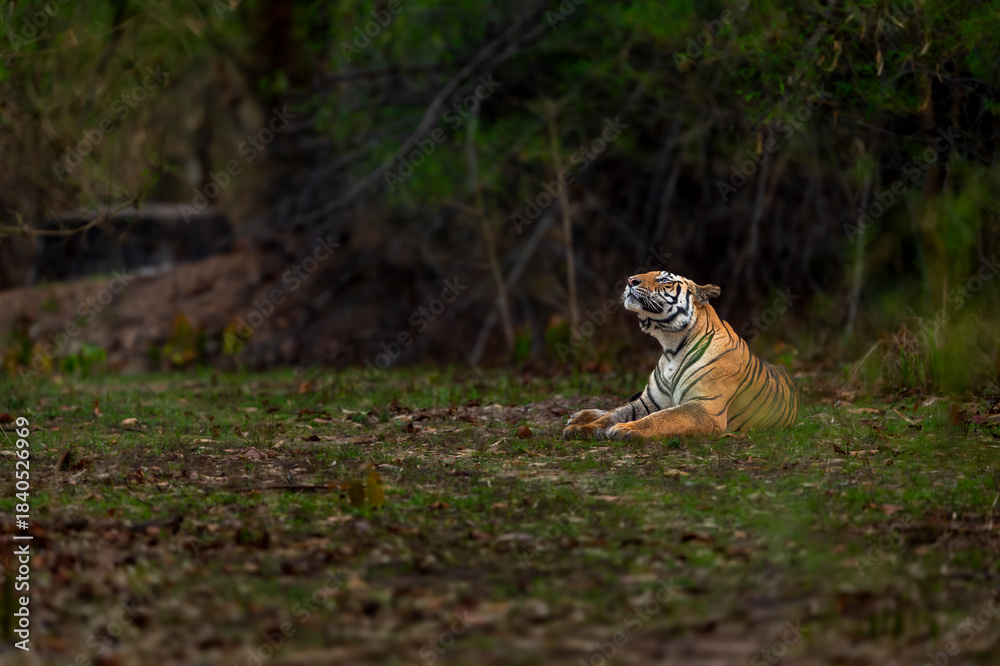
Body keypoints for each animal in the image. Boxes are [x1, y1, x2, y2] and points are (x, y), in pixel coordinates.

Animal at [562, 271, 799, 440]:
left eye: (664, 279)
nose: (630, 280)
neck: (671, 347)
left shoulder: (705, 407)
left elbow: (662, 418)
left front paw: (624, 429)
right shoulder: (649, 402)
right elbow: (615, 414)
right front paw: (582, 428)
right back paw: (578, 416)